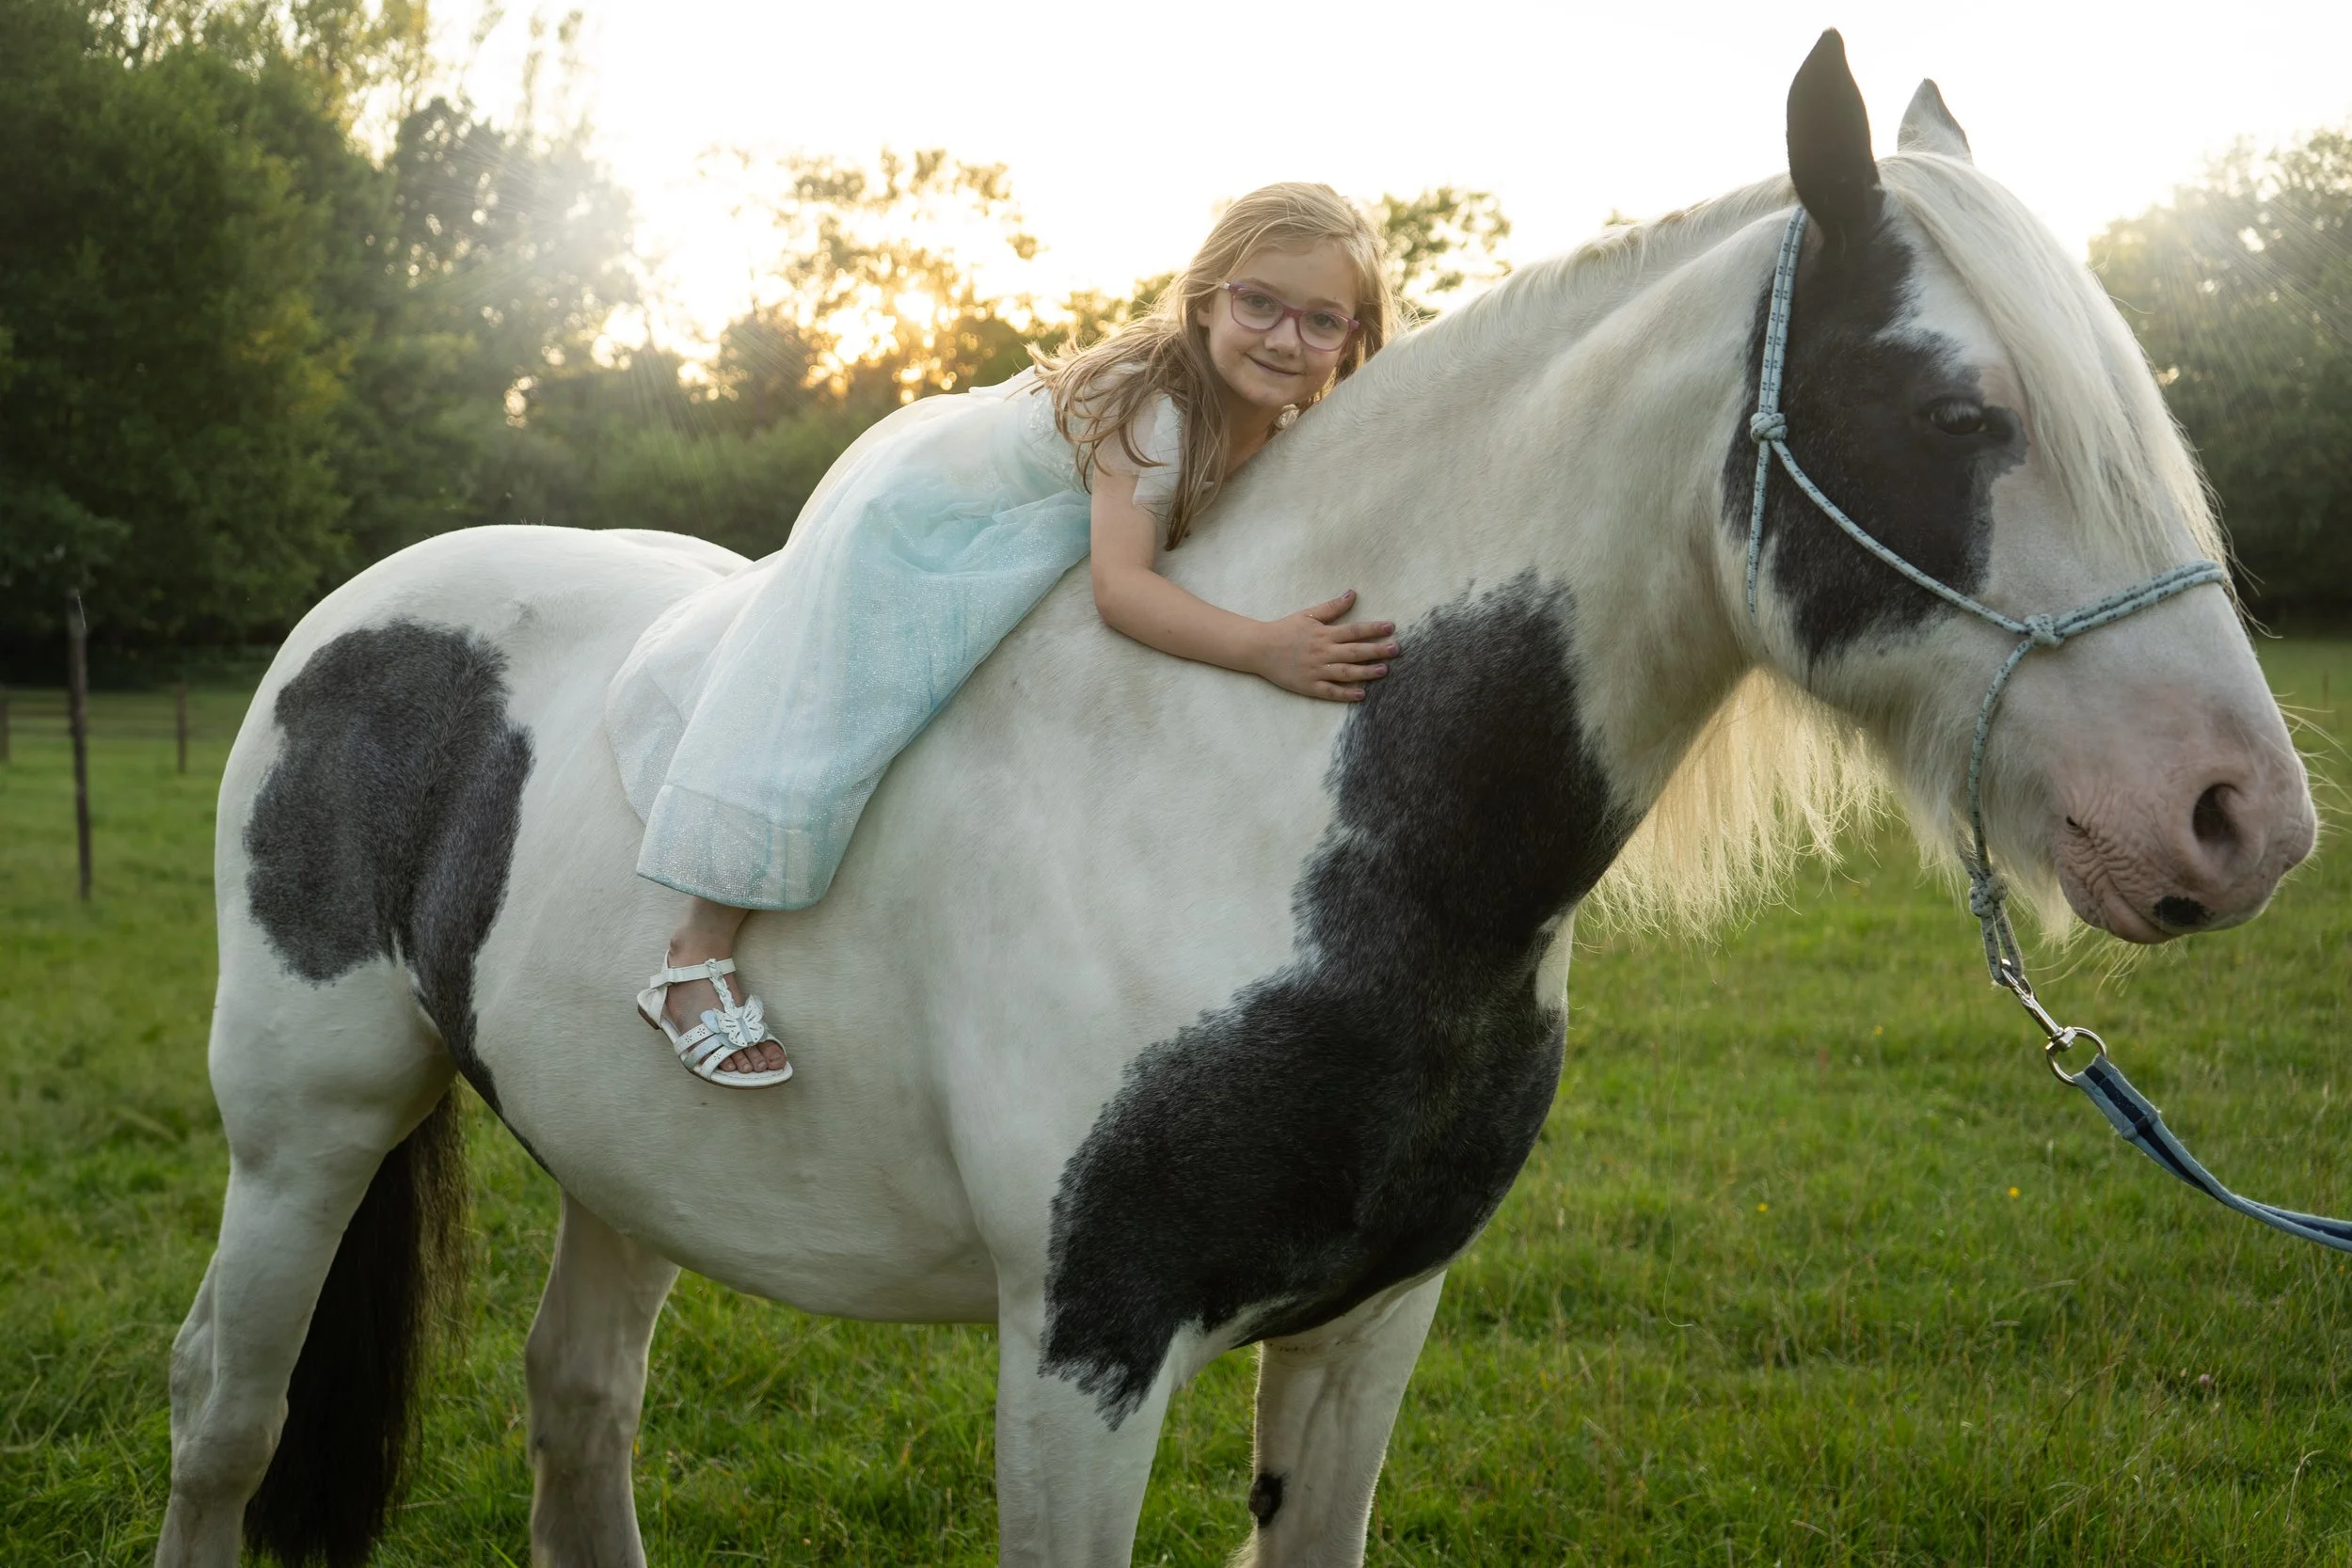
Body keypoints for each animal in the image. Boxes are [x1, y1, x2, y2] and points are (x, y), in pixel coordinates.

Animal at [155, 33, 2315, 1568]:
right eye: (1959, 413)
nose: (2239, 819)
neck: (1268, 820)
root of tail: (366, 606)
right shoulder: (1082, 1348)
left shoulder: (1367, 1325)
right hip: (303, 1129)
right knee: (225, 1412)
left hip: (622, 1165)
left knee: (577, 1405)